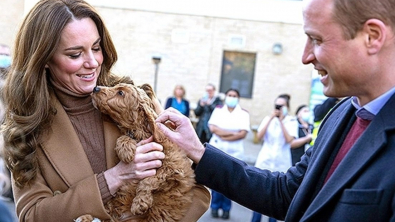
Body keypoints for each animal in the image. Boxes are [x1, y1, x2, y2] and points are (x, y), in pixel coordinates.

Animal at [78, 83, 196, 222]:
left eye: (121, 93)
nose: (95, 88)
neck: (141, 133)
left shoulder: (174, 168)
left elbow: (149, 180)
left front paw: (140, 202)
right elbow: (123, 138)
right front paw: (126, 150)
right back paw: (84, 216)